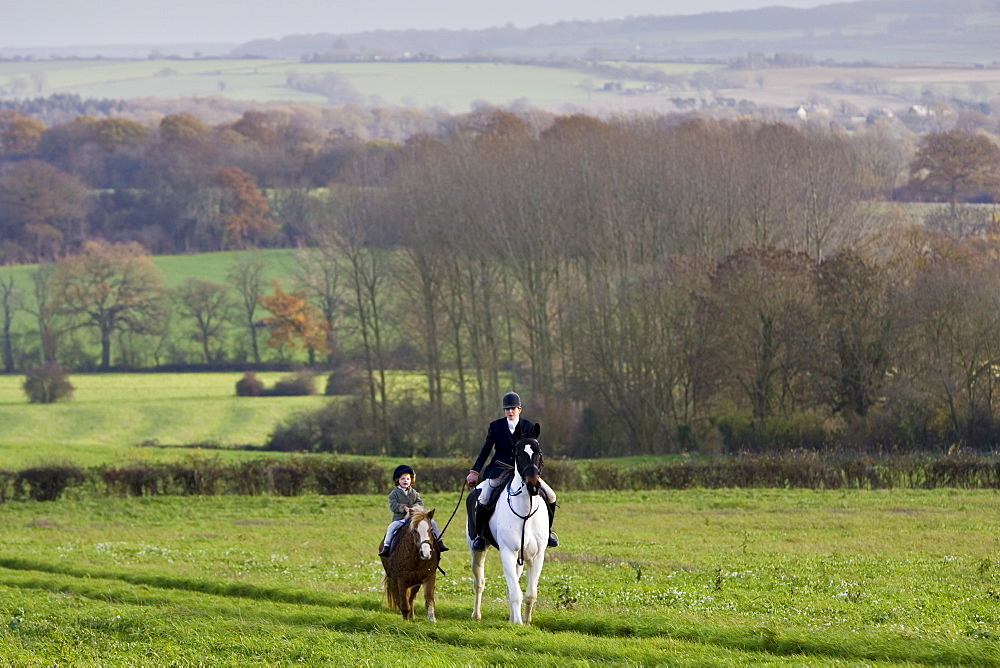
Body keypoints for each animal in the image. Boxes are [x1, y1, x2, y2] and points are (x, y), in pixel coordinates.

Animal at [470, 426, 552, 624]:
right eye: (518, 454)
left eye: (539, 453)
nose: (533, 487)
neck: (526, 514)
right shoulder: (508, 552)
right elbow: (515, 593)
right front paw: (518, 623)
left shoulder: (536, 556)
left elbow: (529, 594)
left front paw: (526, 621)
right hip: (477, 549)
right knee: (479, 582)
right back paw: (476, 615)